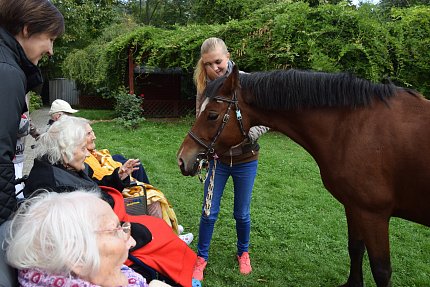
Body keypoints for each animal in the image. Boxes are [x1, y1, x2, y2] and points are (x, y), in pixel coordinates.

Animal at [177, 66, 430, 287]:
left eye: (212, 115)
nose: (182, 159)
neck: (354, 128)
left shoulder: (373, 214)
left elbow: (381, 270)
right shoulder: (355, 207)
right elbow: (355, 248)